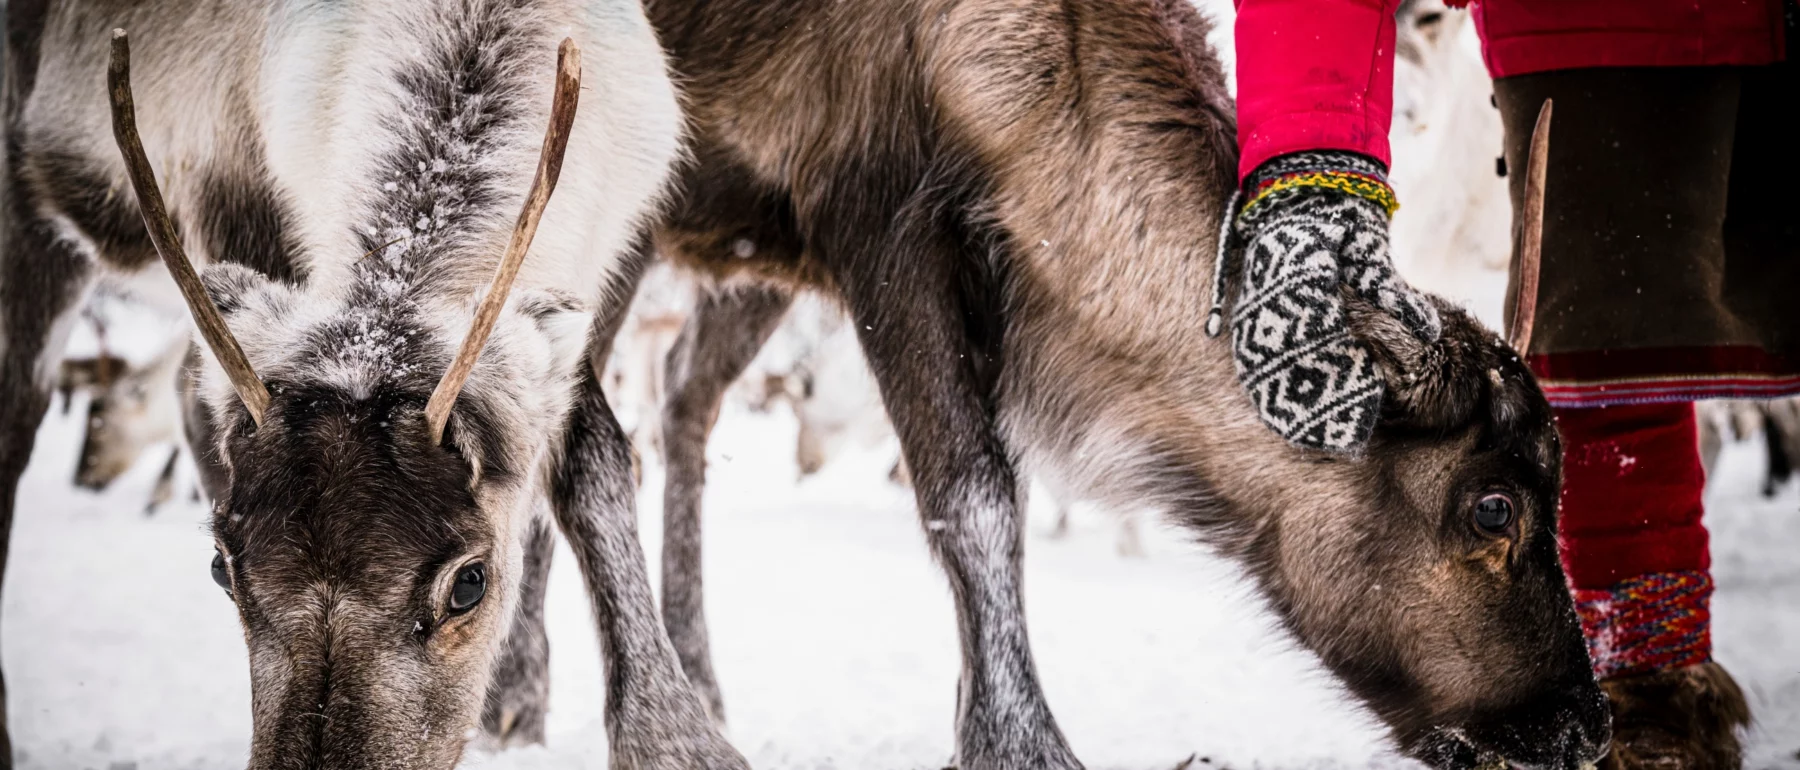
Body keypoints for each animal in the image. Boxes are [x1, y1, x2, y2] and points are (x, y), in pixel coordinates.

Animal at [636, 0, 1609, 768]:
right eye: (1493, 508)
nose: (1586, 727)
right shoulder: (876, 221)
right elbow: (975, 497)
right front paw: (1014, 745)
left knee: (680, 386)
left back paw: (689, 673)